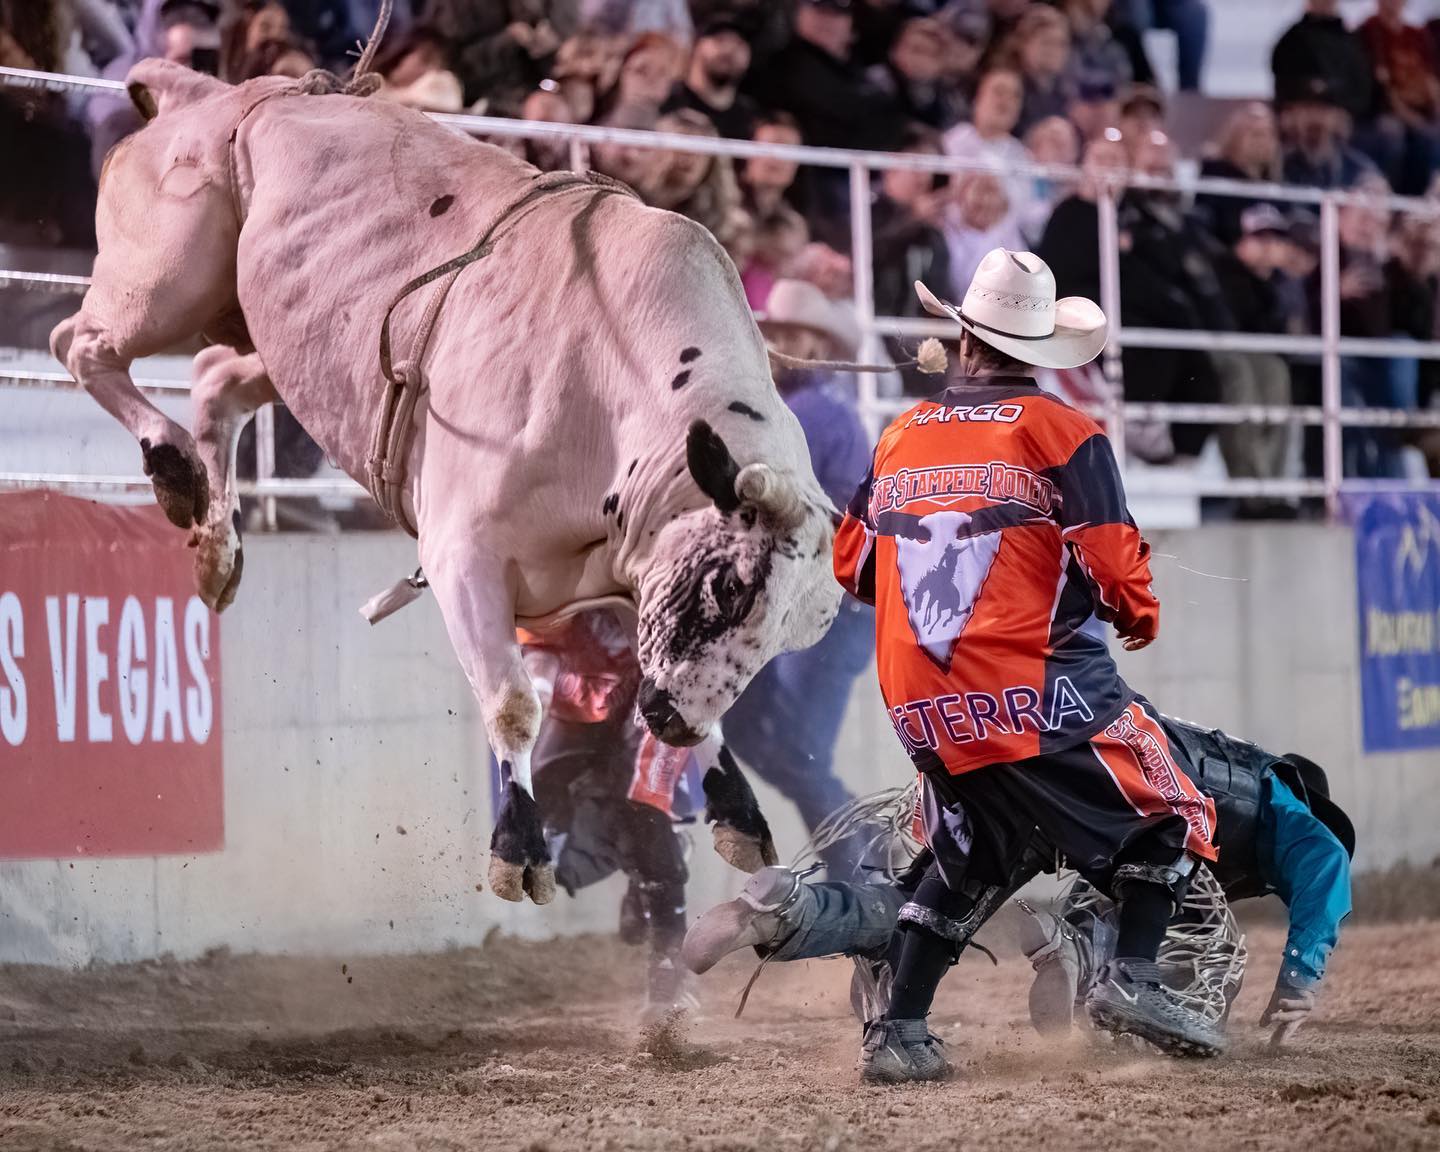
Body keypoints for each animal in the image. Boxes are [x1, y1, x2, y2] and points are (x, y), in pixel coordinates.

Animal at [53, 63, 840, 904]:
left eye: (794, 633)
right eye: (728, 585)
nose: (674, 723)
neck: (615, 382)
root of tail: (211, 93)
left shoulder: (635, 571)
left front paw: (738, 811)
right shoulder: (464, 556)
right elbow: (514, 704)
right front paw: (519, 847)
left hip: (269, 341)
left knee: (214, 381)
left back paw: (216, 542)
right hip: (166, 279)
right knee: (81, 343)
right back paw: (171, 464)